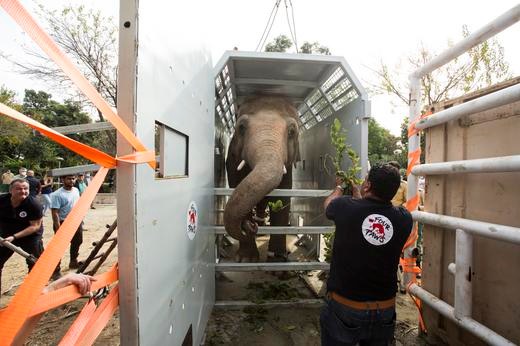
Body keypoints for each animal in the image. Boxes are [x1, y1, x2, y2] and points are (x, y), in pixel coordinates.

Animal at [223, 96, 300, 260]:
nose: (251, 226)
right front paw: (246, 260)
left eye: (292, 131)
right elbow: (237, 189)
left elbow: (283, 198)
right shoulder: (232, 162)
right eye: (241, 127)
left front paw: (278, 260)